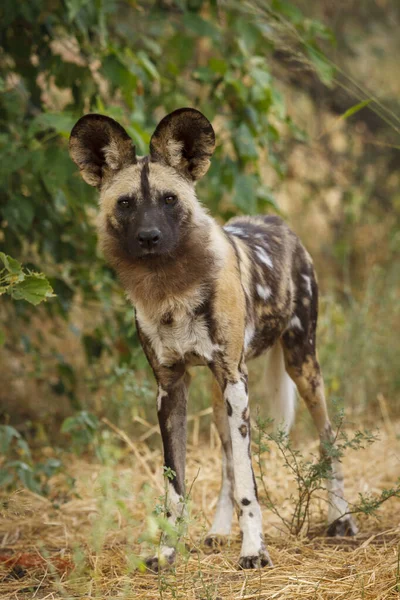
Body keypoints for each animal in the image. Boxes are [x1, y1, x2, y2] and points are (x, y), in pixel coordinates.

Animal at [68, 108, 356, 572]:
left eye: (169, 199)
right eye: (126, 203)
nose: (149, 238)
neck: (172, 292)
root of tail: (277, 221)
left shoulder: (235, 381)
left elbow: (248, 485)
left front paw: (254, 551)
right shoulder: (171, 388)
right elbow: (177, 488)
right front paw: (167, 553)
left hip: (301, 367)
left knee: (327, 438)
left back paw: (340, 520)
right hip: (224, 396)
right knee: (226, 460)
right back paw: (220, 531)